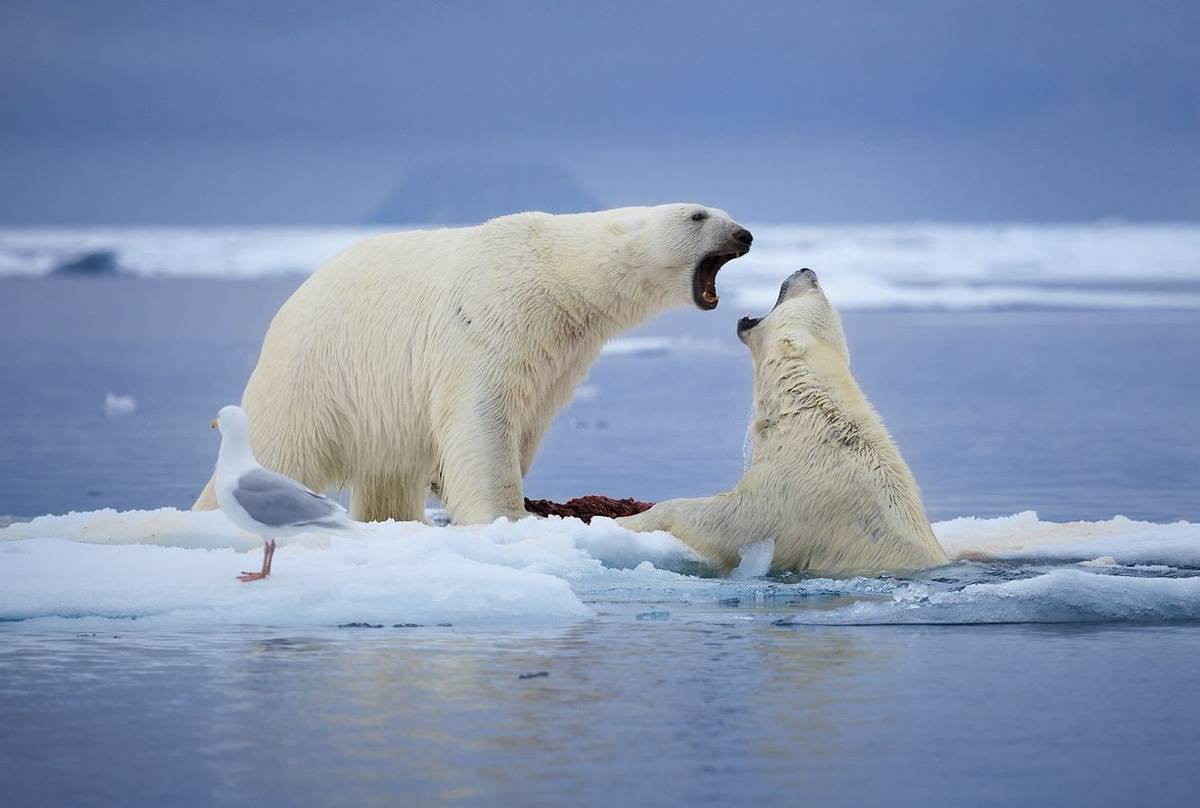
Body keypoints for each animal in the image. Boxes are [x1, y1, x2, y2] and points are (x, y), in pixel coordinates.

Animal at [193, 205, 753, 523]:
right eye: (698, 215)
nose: (745, 234)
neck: (560, 275)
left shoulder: (559, 352)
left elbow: (528, 419)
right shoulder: (494, 318)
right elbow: (483, 415)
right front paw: (506, 513)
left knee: (388, 470)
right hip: (316, 370)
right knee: (281, 447)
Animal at [619, 267, 945, 576]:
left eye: (815, 291)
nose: (807, 270)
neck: (806, 412)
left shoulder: (792, 488)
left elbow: (730, 521)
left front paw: (631, 519)